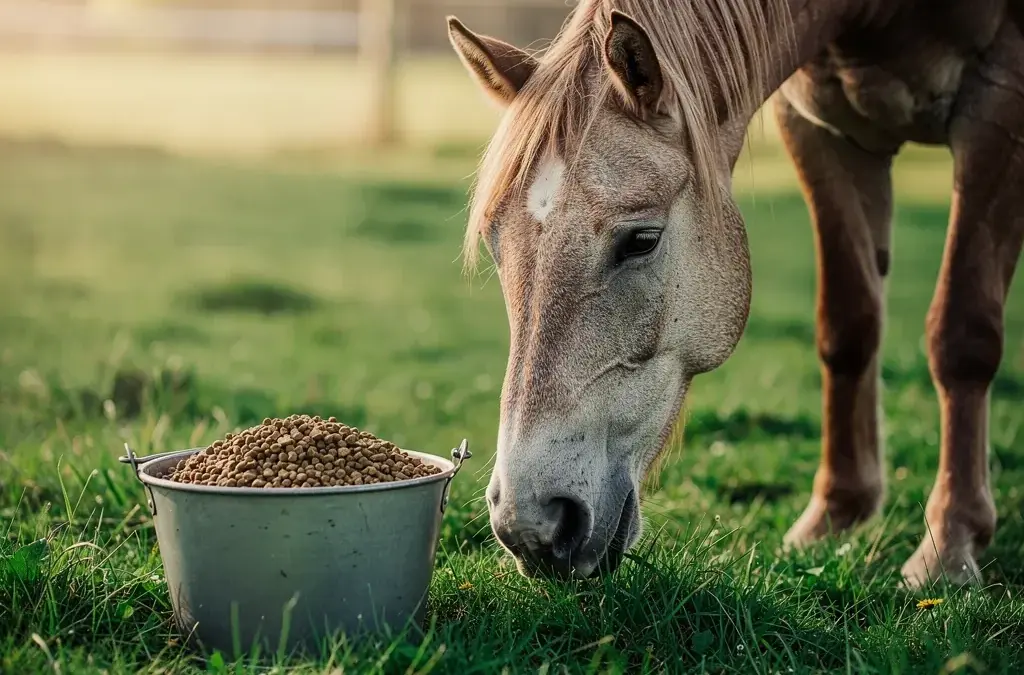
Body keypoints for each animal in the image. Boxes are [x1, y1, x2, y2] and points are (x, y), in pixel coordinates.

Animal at [446, 0, 1023, 589]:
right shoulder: (820, 128)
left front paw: (949, 544)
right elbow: (848, 327)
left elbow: (961, 337)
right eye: (495, 244)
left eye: (642, 240)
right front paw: (834, 516)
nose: (530, 524)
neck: (872, 17)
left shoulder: (999, 108)